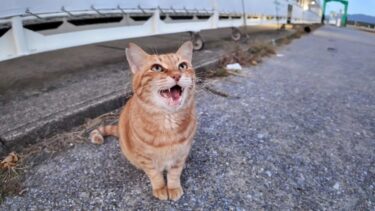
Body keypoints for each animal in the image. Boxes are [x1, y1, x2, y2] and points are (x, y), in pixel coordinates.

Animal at [90, 41, 198, 201]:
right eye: (157, 68)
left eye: (182, 66)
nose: (177, 75)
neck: (168, 121)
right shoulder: (145, 158)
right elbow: (155, 175)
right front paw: (160, 188)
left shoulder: (181, 154)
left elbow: (174, 173)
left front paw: (173, 187)